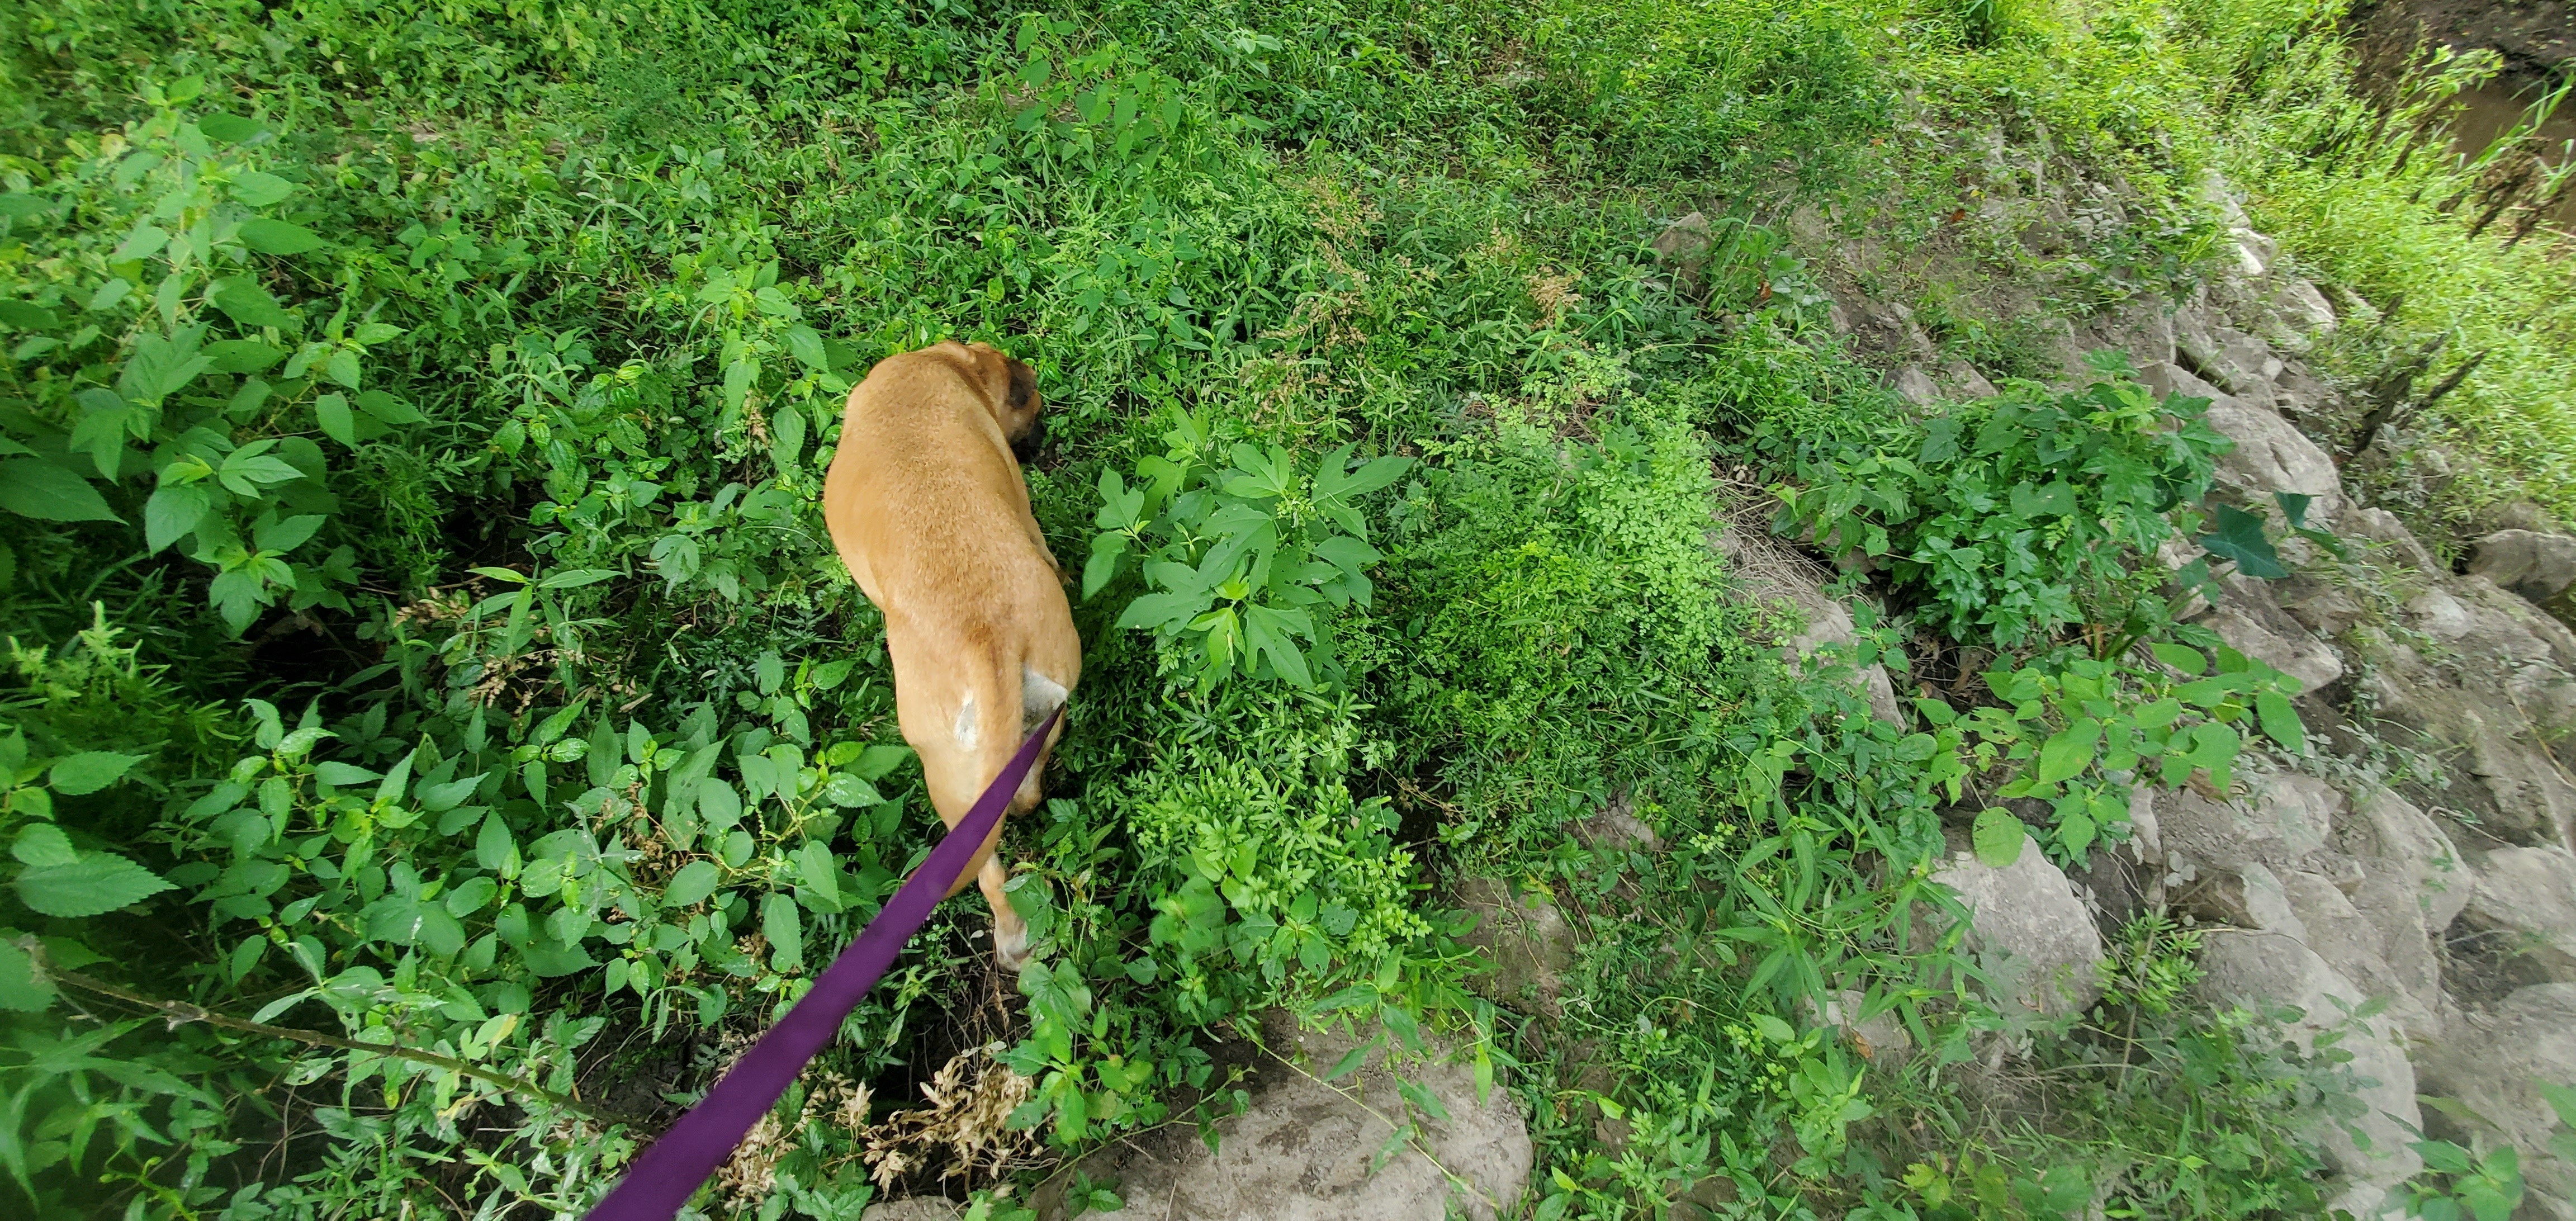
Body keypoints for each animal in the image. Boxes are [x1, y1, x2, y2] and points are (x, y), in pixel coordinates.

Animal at [819, 337, 1071, 968]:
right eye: (1032, 400)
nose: (1044, 436)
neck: (940, 365)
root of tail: (989, 641)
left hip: (945, 782)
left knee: (989, 874)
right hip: (1041, 716)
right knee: (1026, 788)